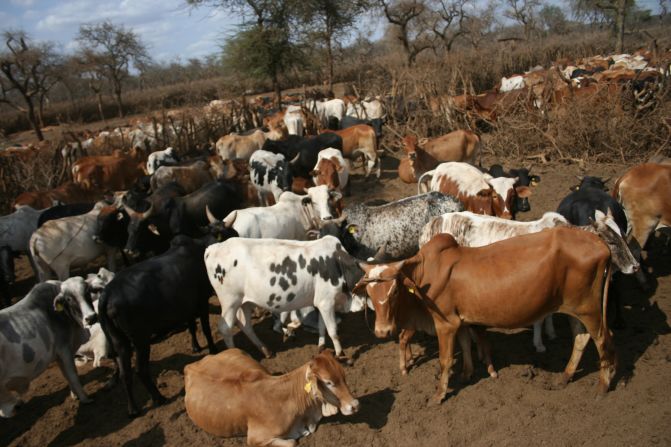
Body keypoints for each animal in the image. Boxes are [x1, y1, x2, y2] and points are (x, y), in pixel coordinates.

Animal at [0, 278, 97, 418]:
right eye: (69, 299)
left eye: (88, 291)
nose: (91, 317)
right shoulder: (64, 349)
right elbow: (73, 375)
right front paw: (85, 398)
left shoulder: (59, 354)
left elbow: (66, 375)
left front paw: (75, 395)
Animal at [98, 229, 238, 418]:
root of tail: (107, 294)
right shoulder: (201, 302)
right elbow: (206, 329)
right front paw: (213, 350)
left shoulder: (187, 306)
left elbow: (192, 327)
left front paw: (195, 346)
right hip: (140, 339)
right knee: (140, 370)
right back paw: (158, 398)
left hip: (119, 341)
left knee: (125, 373)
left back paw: (133, 409)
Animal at [205, 238, 364, 360]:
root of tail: (213, 248)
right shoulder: (326, 301)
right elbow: (333, 330)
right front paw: (340, 354)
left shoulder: (320, 301)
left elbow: (321, 326)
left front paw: (321, 347)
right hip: (230, 301)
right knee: (225, 328)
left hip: (245, 302)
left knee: (245, 324)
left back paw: (266, 351)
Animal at [356, 229, 616, 404]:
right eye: (369, 293)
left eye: (394, 290)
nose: (382, 331)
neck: (422, 276)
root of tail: (601, 243)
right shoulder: (460, 320)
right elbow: (465, 344)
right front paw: (467, 373)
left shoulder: (445, 324)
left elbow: (445, 360)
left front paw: (439, 395)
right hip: (574, 308)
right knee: (581, 338)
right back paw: (564, 377)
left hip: (589, 308)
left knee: (603, 338)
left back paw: (602, 386)